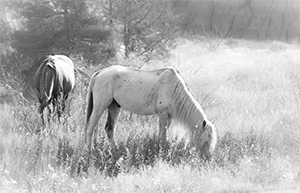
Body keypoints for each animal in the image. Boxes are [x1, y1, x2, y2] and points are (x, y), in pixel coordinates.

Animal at [85, 65, 217, 159]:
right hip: (100, 106)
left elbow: (161, 136)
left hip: (114, 106)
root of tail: (99, 72)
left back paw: (116, 151)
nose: (207, 158)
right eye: (206, 140)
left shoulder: (168, 117)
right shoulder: (163, 115)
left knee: (109, 129)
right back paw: (89, 152)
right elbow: (162, 137)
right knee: (90, 127)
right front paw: (161, 154)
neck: (173, 89)